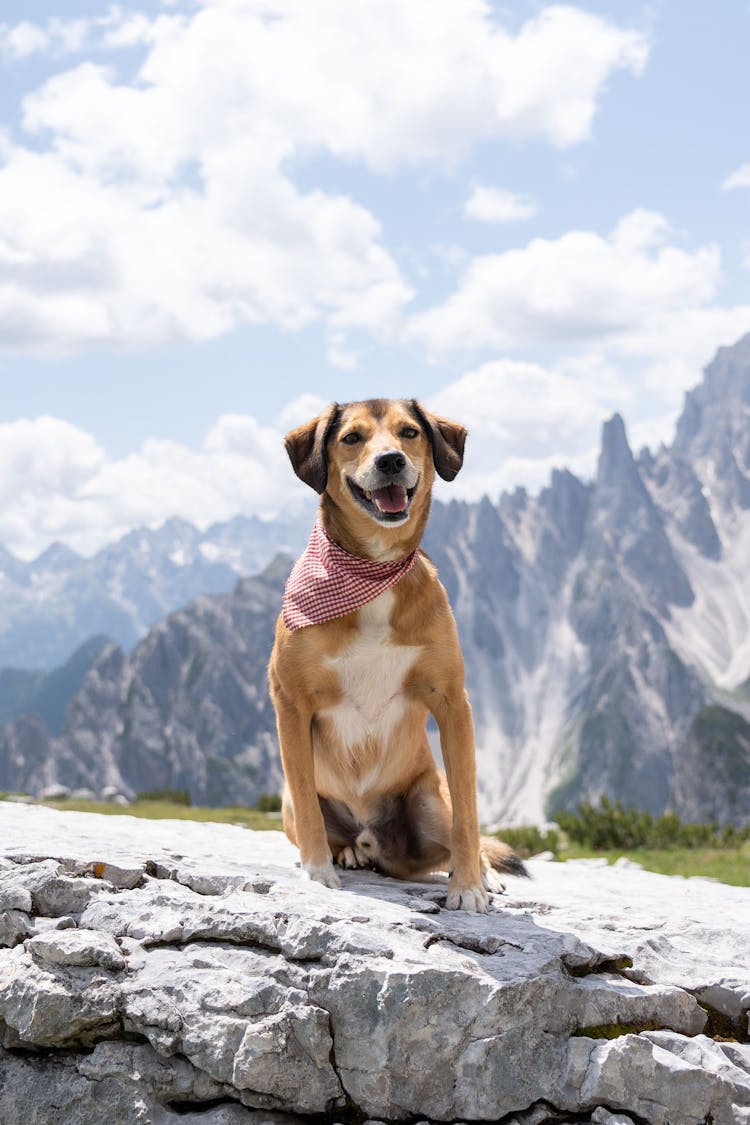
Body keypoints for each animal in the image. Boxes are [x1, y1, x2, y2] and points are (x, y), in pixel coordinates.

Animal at [266, 400, 526, 909]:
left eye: (409, 432)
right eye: (351, 437)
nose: (390, 461)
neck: (373, 570)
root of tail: (375, 841)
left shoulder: (452, 701)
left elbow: (470, 814)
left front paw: (469, 887)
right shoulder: (290, 701)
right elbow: (307, 801)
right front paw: (318, 871)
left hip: (430, 801)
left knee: (459, 834)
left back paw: (482, 874)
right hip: (285, 803)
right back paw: (346, 852)